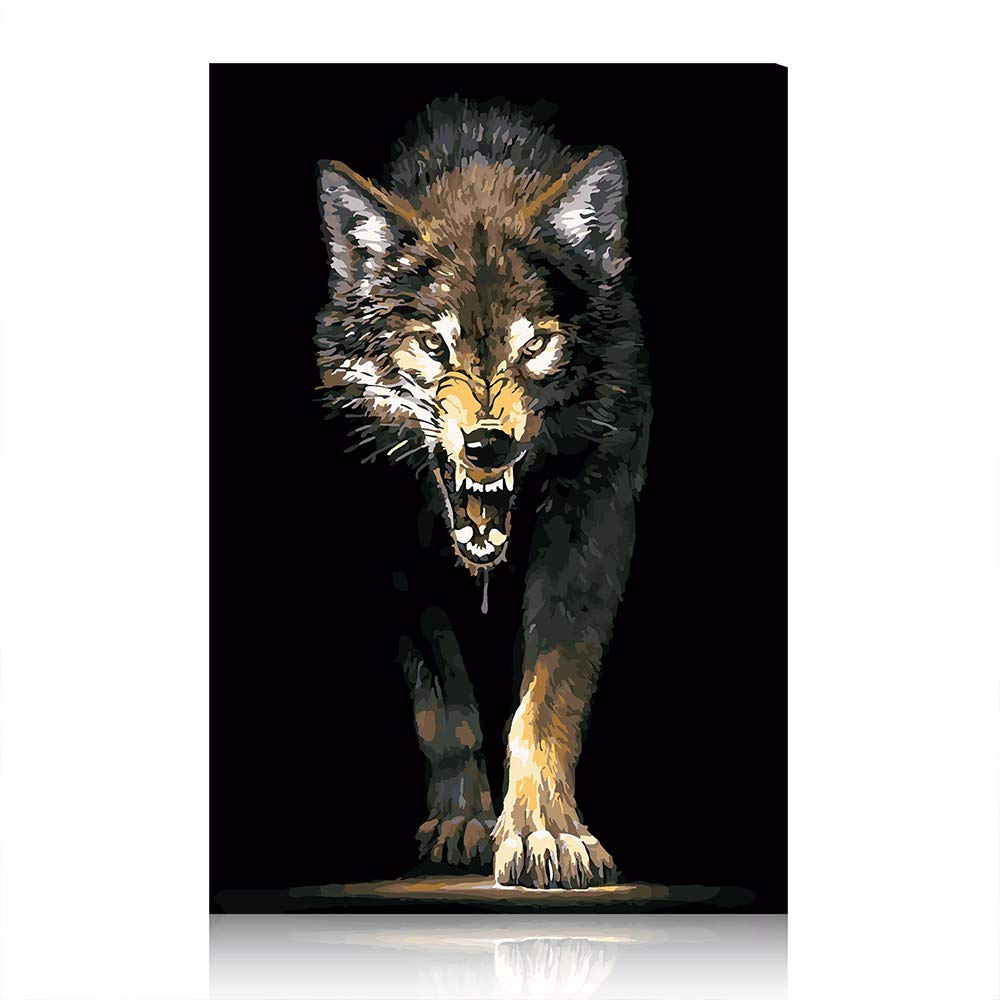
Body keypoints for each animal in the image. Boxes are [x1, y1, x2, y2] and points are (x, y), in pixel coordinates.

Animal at [316, 98, 650, 889]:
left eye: (534, 346)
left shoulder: (594, 521)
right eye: (434, 346)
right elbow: (446, 706)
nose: (487, 446)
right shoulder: (395, 554)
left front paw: (544, 833)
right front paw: (465, 822)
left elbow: (548, 698)